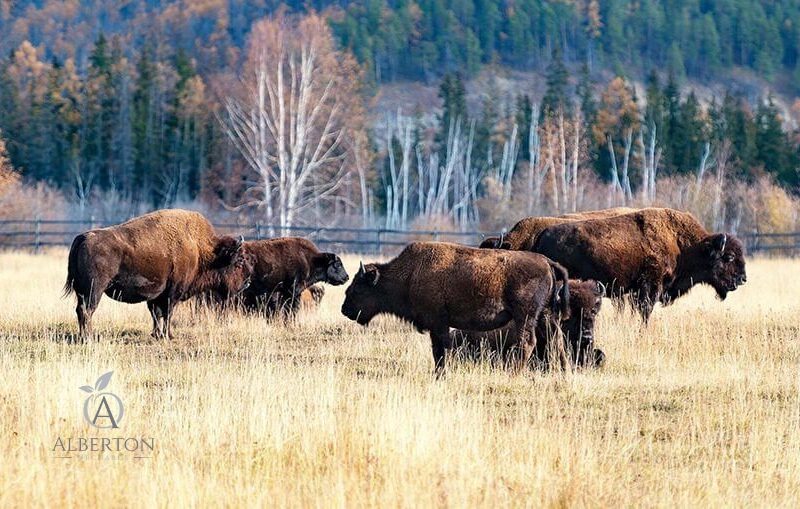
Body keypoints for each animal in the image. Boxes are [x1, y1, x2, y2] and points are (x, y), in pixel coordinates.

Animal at [63, 208, 244, 340]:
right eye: (238, 262)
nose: (245, 284)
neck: (200, 250)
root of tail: (83, 237)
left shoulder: (157, 295)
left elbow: (156, 314)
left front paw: (156, 335)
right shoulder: (173, 293)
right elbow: (167, 314)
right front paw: (168, 335)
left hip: (81, 291)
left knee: (80, 310)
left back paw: (83, 337)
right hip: (94, 290)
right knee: (87, 310)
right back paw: (89, 337)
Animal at [338, 240, 568, 372]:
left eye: (358, 288)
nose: (345, 310)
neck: (410, 274)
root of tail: (547, 262)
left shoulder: (438, 323)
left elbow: (440, 351)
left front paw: (440, 375)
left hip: (525, 316)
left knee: (527, 342)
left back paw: (515, 372)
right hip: (546, 315)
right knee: (556, 341)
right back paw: (562, 372)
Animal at [536, 207, 748, 320]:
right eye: (729, 257)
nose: (743, 279)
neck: (683, 245)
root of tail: (542, 235)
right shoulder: (649, 286)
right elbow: (645, 311)